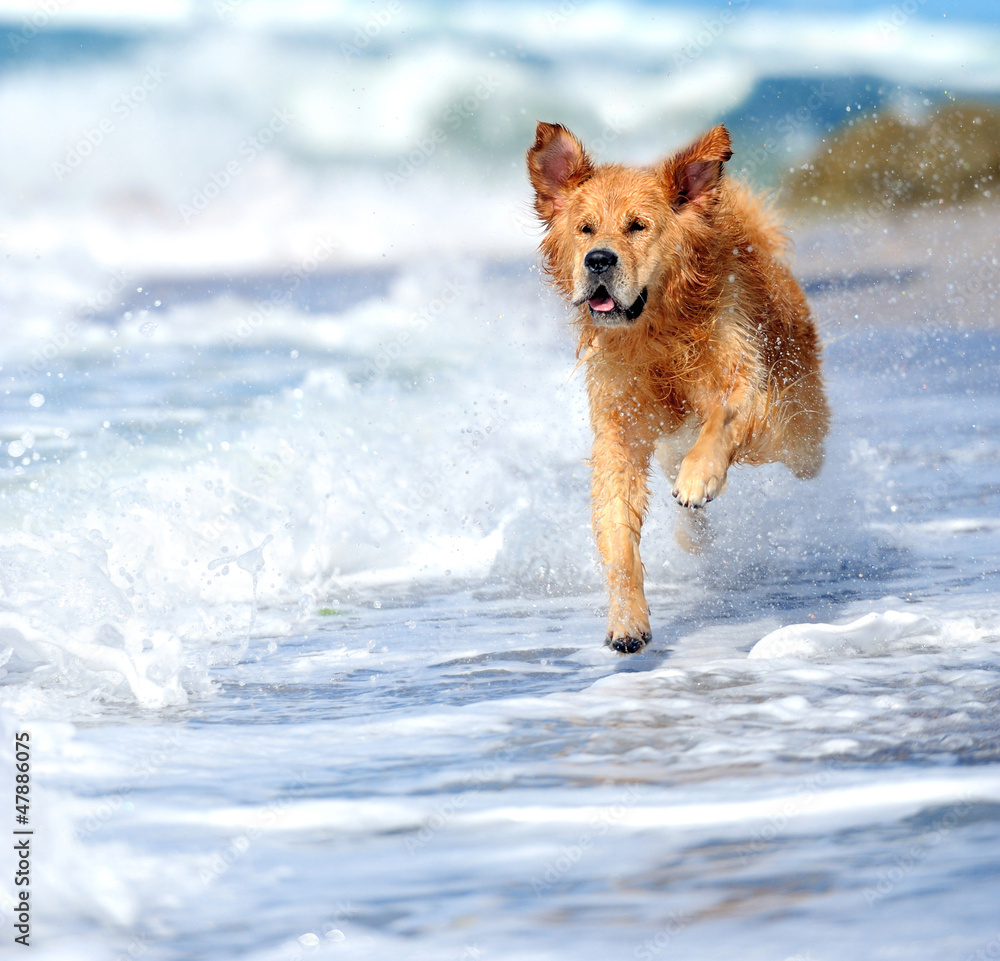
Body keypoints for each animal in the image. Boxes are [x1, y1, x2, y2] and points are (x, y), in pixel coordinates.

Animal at [528, 122, 832, 652]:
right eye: (586, 228)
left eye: (637, 226)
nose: (598, 260)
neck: (657, 335)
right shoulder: (619, 431)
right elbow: (617, 532)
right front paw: (627, 620)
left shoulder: (746, 380)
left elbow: (724, 414)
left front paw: (700, 476)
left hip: (797, 437)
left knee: (798, 452)